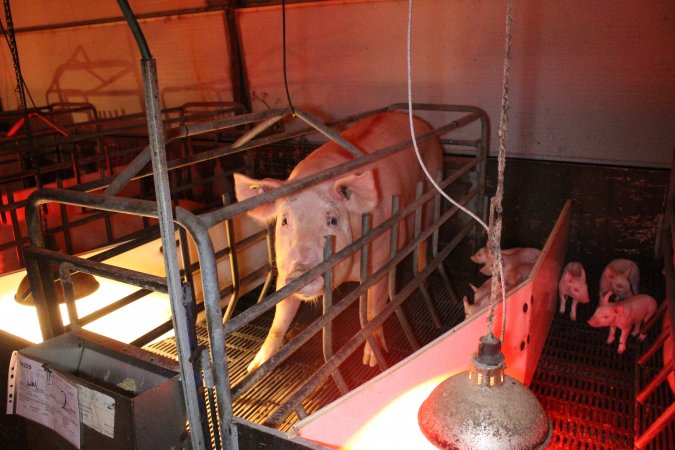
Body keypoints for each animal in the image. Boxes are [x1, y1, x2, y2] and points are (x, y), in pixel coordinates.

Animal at [234, 110, 444, 370]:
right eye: (284, 221)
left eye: (332, 220)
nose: (301, 271)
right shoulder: (283, 269)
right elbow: (280, 315)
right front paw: (255, 366)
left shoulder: (381, 259)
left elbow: (373, 310)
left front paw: (371, 362)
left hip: (431, 192)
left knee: (424, 238)